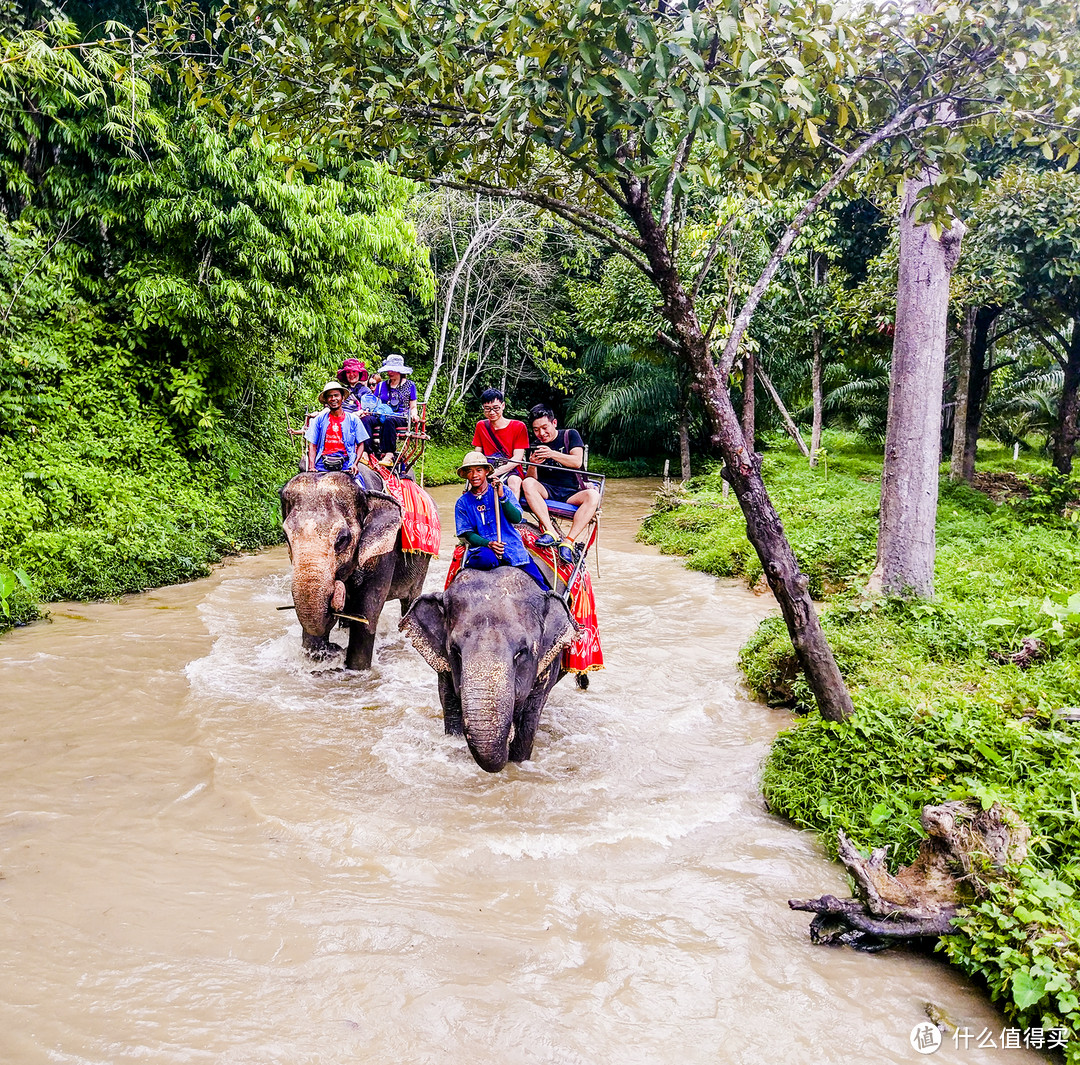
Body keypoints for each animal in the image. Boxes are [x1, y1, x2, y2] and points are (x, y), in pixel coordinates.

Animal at [280, 468, 432, 669]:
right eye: (286, 537)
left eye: (342, 539)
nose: (334, 648)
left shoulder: (383, 554)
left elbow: (366, 613)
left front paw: (356, 670)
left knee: (409, 601)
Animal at [401, 565, 578, 773]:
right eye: (455, 651)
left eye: (521, 652)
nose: (508, 734)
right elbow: (448, 698)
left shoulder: (549, 661)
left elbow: (530, 714)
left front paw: (518, 761)